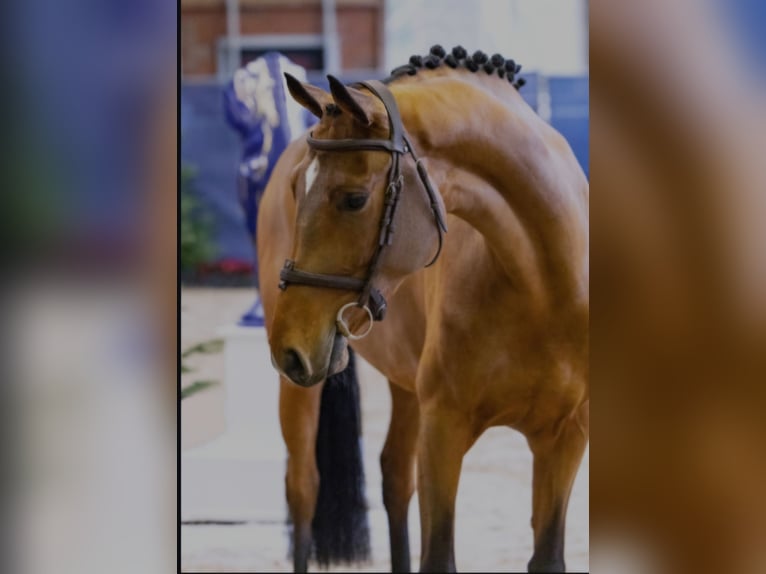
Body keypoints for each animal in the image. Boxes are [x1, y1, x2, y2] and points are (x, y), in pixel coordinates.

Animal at [257, 45, 589, 573]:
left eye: (354, 199)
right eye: (296, 192)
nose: (288, 348)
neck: (543, 287)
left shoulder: (566, 437)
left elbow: (548, 555)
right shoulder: (443, 431)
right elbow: (438, 555)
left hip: (404, 383)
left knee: (394, 478)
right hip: (305, 391)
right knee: (304, 489)